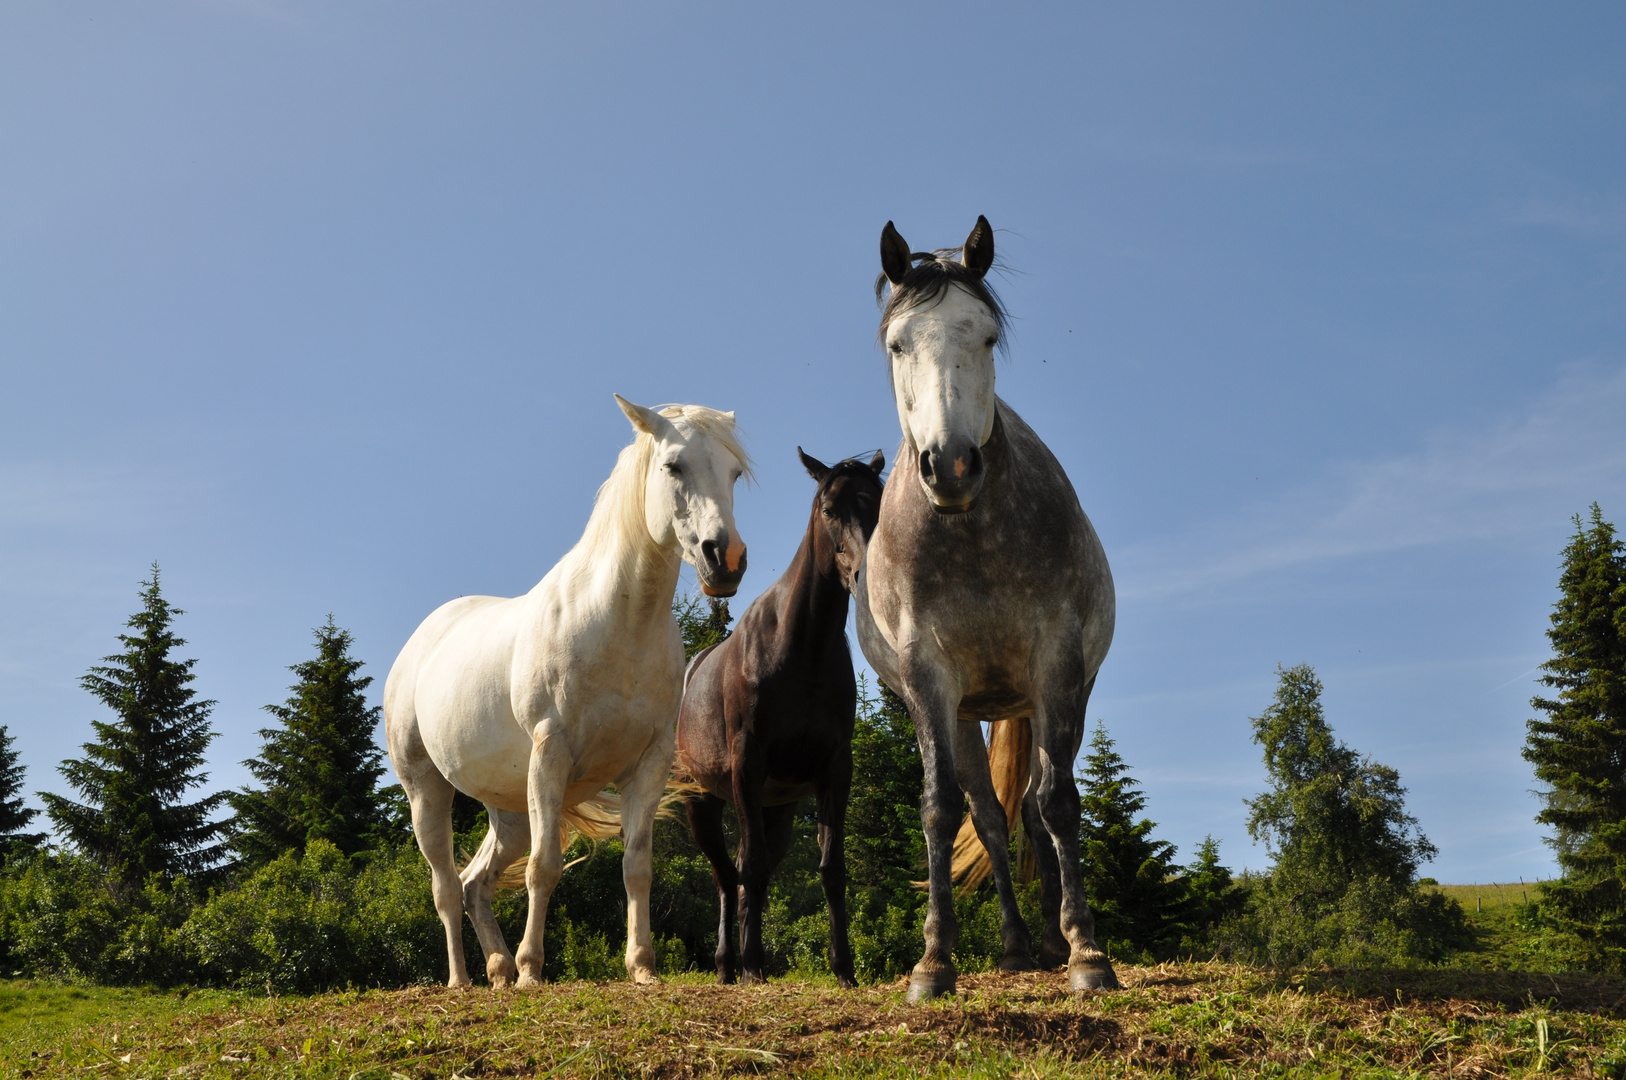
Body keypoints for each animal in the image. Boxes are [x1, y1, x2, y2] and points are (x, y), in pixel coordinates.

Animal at [383, 396, 751, 988]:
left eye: (735, 472)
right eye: (673, 465)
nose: (726, 559)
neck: (617, 624)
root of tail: (418, 644)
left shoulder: (648, 765)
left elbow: (637, 867)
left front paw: (641, 967)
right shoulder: (550, 756)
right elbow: (545, 867)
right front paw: (533, 970)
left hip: (509, 811)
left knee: (474, 883)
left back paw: (497, 970)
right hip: (426, 790)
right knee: (445, 886)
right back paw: (464, 979)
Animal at [673, 445, 884, 988]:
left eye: (876, 503)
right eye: (828, 509)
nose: (865, 577)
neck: (800, 650)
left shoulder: (834, 770)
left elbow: (830, 869)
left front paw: (844, 968)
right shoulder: (748, 765)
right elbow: (752, 869)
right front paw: (752, 964)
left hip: (777, 808)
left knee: (745, 874)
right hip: (702, 802)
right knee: (727, 874)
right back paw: (730, 963)